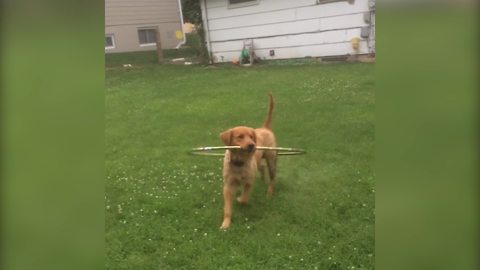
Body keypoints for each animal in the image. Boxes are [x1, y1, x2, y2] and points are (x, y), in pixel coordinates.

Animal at [218, 93, 276, 230]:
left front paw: (240, 199)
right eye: (240, 136)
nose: (252, 145)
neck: (239, 163)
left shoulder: (249, 182)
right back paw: (262, 179)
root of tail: (265, 128)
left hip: (272, 161)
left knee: (272, 179)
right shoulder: (228, 185)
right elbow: (227, 208)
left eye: (251, 136)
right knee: (262, 168)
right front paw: (225, 224)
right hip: (259, 162)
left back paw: (269, 192)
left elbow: (244, 197)